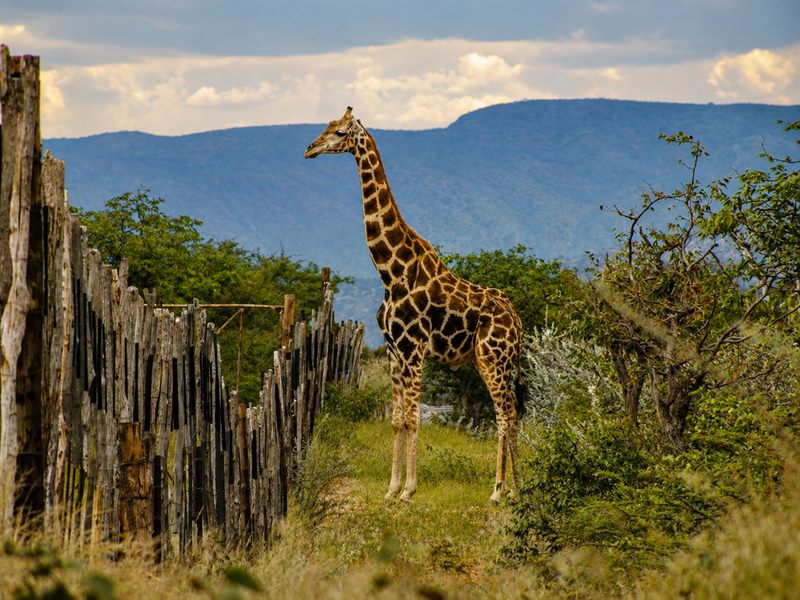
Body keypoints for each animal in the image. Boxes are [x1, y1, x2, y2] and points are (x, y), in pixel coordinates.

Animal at [305, 107, 525, 503]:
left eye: (340, 132)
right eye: (326, 126)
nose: (309, 149)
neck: (391, 273)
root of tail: (518, 322)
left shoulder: (415, 348)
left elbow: (413, 417)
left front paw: (409, 490)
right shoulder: (394, 349)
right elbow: (396, 420)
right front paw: (391, 489)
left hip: (493, 358)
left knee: (505, 414)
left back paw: (502, 491)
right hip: (492, 361)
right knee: (509, 413)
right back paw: (513, 488)